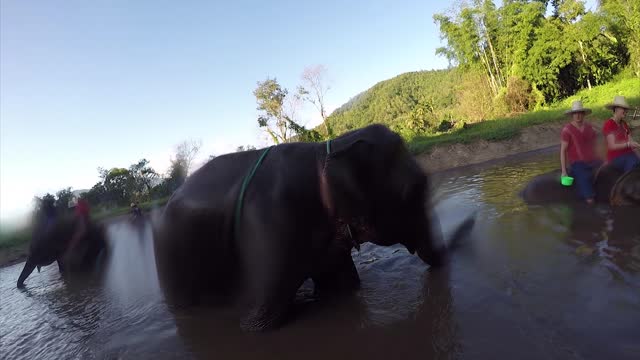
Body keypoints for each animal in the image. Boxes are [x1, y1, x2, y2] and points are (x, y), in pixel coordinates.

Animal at [152, 124, 476, 332]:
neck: (327, 151)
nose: (473, 219)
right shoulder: (270, 221)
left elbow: (344, 286)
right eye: (414, 192)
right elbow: (258, 320)